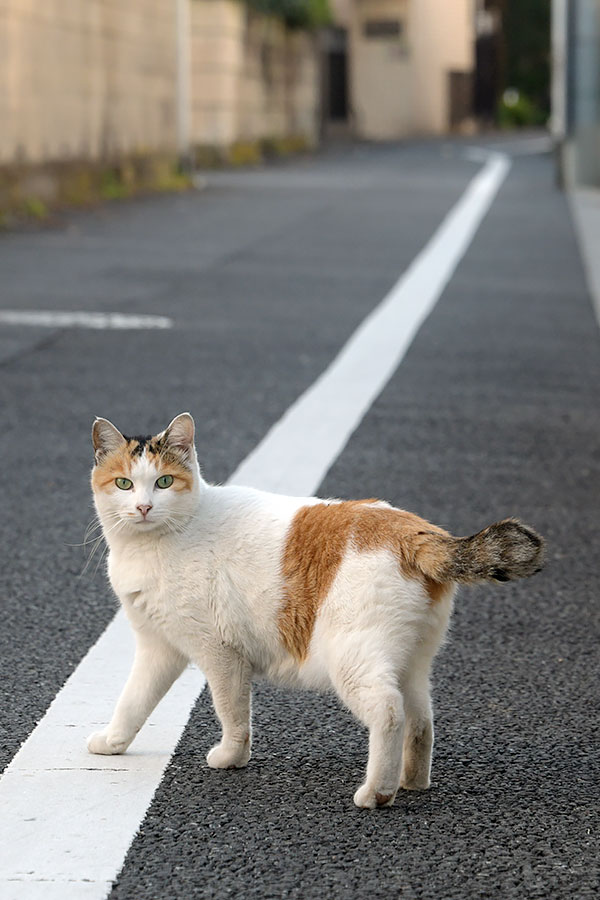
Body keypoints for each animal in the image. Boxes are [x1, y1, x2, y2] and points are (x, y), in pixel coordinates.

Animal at [88, 414, 544, 808]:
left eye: (164, 482)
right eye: (124, 484)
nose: (144, 507)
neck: (154, 544)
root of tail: (417, 531)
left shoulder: (219, 653)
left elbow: (231, 712)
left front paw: (231, 757)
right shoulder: (159, 647)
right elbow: (133, 701)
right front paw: (113, 742)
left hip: (352, 659)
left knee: (389, 712)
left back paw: (377, 793)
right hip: (410, 661)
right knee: (420, 720)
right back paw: (410, 781)